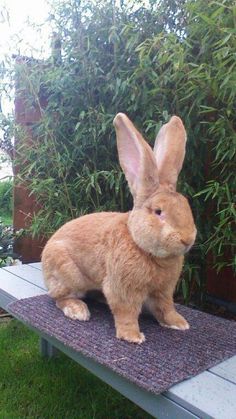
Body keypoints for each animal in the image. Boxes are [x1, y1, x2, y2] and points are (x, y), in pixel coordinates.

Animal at [41, 113, 197, 342]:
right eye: (158, 211)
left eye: (186, 205)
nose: (187, 239)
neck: (142, 247)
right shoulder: (122, 288)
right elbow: (126, 312)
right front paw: (132, 336)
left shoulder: (163, 291)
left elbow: (165, 308)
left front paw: (179, 323)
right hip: (68, 275)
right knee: (59, 298)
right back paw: (78, 310)